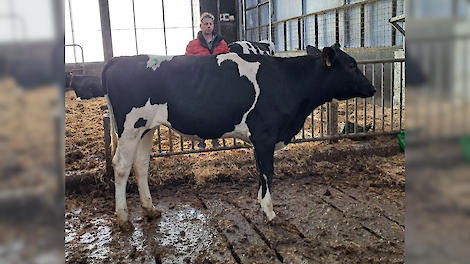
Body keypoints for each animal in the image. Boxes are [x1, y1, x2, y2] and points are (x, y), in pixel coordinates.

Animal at [102, 42, 374, 229]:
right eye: (351, 65)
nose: (371, 88)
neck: (290, 81)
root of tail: (120, 59)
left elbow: (262, 172)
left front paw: (262, 204)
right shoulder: (264, 135)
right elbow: (268, 171)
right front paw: (270, 212)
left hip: (147, 128)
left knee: (141, 165)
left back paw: (150, 208)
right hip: (130, 127)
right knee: (121, 166)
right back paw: (123, 218)